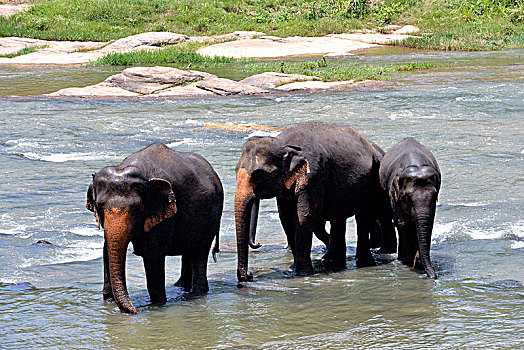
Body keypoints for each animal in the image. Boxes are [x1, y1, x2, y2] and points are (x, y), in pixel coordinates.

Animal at [85, 142, 223, 314]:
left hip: (213, 214)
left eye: (136, 208)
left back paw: (196, 293)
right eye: (100, 206)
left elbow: (152, 254)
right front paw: (109, 302)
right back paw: (182, 287)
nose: (134, 310)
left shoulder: (164, 214)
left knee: (200, 250)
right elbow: (106, 249)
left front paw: (157, 304)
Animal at [234, 121, 398, 282]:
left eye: (259, 174)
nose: (250, 275)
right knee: (339, 217)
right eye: (235, 171)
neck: (282, 143)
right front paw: (291, 269)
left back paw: (362, 262)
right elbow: (285, 217)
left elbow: (304, 216)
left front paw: (301, 274)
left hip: (370, 184)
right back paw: (332, 261)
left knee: (363, 216)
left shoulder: (314, 174)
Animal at [378, 137, 440, 278]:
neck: (417, 165)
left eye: (435, 196)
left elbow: (428, 222)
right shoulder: (393, 193)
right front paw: (404, 262)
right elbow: (403, 223)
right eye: (407, 198)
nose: (434, 276)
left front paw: (417, 263)